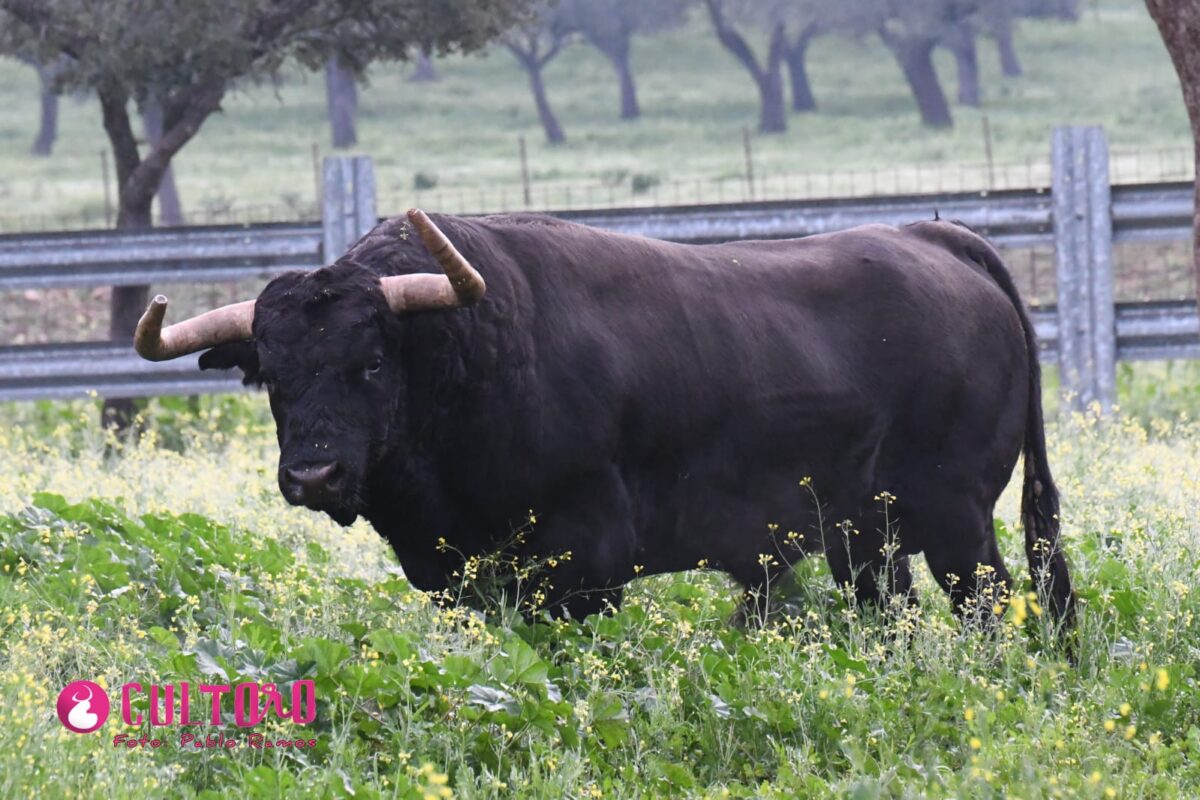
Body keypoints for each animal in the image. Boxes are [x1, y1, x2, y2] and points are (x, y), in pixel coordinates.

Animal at [196, 214, 1080, 623]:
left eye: (372, 361)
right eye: (270, 376)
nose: (313, 473)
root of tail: (932, 234)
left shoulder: (583, 567)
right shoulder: (456, 582)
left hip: (957, 523)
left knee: (994, 610)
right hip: (868, 538)